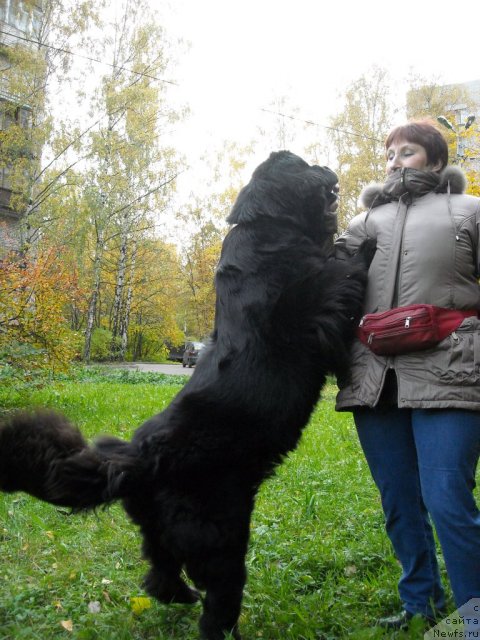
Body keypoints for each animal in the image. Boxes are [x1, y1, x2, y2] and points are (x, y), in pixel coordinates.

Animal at [0, 152, 376, 636]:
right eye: (304, 163)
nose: (328, 167)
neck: (268, 225)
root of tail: (140, 458)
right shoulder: (313, 305)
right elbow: (344, 273)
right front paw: (365, 245)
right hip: (219, 534)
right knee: (216, 598)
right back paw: (218, 622)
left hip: (160, 528)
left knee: (158, 573)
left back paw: (180, 596)